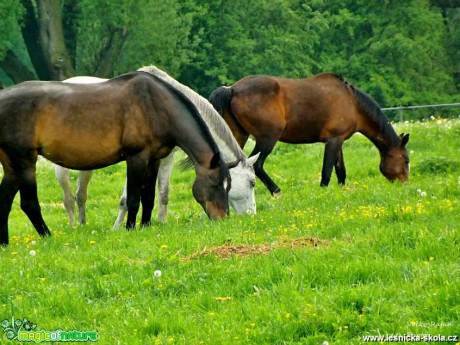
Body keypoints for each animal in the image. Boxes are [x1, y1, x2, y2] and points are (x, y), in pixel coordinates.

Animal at [0, 70, 232, 245]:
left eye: (228, 187)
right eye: (215, 185)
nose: (223, 219)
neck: (155, 104)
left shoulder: (154, 160)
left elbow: (149, 197)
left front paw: (146, 226)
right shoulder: (136, 158)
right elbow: (133, 199)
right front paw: (130, 229)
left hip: (12, 166)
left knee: (6, 201)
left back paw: (4, 243)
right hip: (25, 162)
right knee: (29, 204)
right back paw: (47, 237)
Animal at [56, 66, 258, 228]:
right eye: (252, 182)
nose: (252, 215)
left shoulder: (166, 157)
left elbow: (163, 193)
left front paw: (161, 222)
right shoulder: (137, 158)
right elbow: (127, 198)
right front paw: (118, 227)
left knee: (81, 194)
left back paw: (83, 225)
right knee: (68, 198)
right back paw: (73, 227)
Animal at [210, 72, 412, 195]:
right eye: (406, 160)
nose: (405, 184)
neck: (353, 103)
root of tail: (232, 89)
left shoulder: (338, 141)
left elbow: (341, 170)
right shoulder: (333, 140)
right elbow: (327, 171)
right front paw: (323, 192)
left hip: (239, 136)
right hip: (267, 138)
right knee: (257, 165)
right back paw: (276, 191)